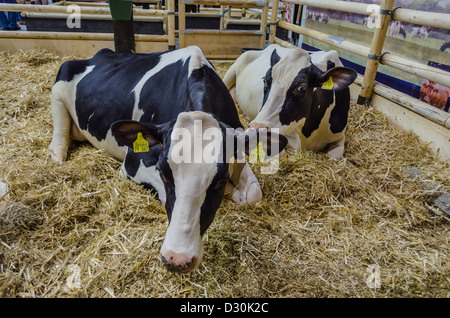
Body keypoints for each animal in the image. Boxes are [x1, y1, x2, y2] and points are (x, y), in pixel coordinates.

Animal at [49, 46, 286, 274]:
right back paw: (56, 154)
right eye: (163, 172)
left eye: (219, 179)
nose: (178, 259)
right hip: (60, 84)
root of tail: (102, 53)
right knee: (60, 132)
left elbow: (253, 194)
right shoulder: (133, 162)